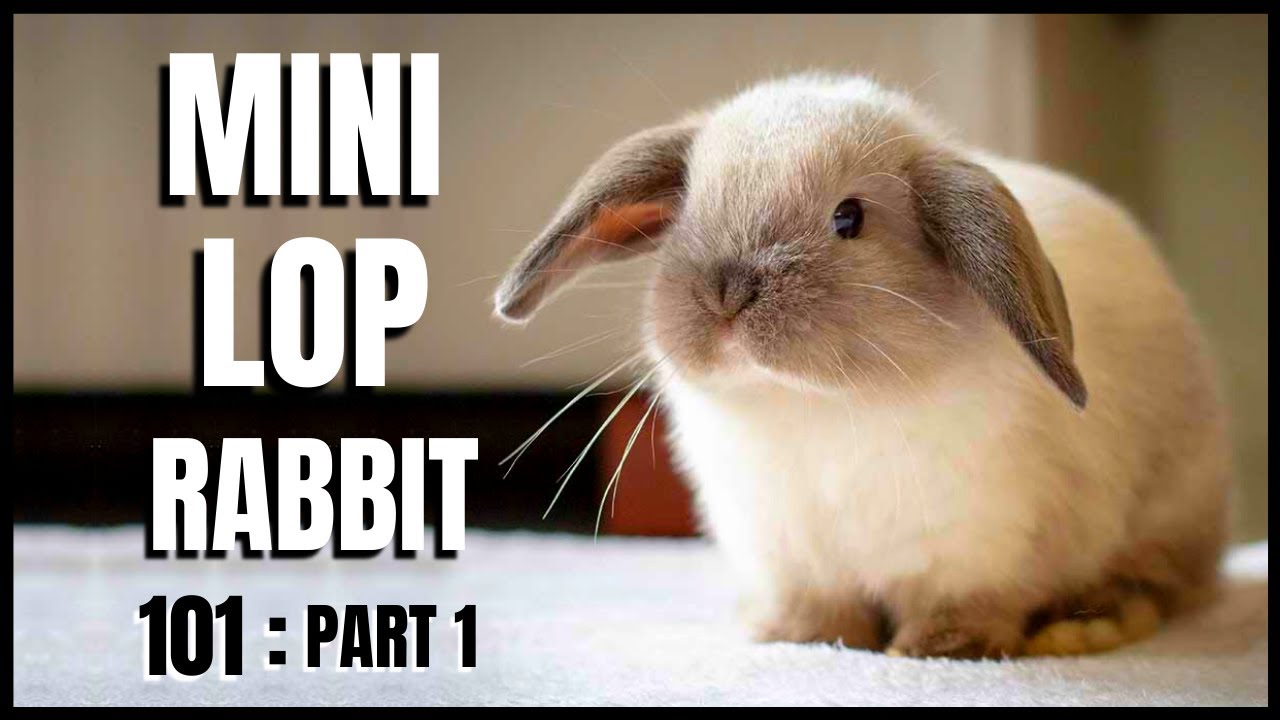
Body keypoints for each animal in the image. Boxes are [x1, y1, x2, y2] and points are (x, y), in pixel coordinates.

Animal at [493, 74, 1231, 659]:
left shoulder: (974, 547)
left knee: (1156, 585)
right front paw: (803, 640)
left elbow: (966, 605)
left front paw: (937, 650)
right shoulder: (790, 555)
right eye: (687, 213)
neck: (811, 403)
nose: (726, 291)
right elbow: (820, 611)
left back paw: (1081, 629)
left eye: (850, 218)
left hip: (1166, 514)